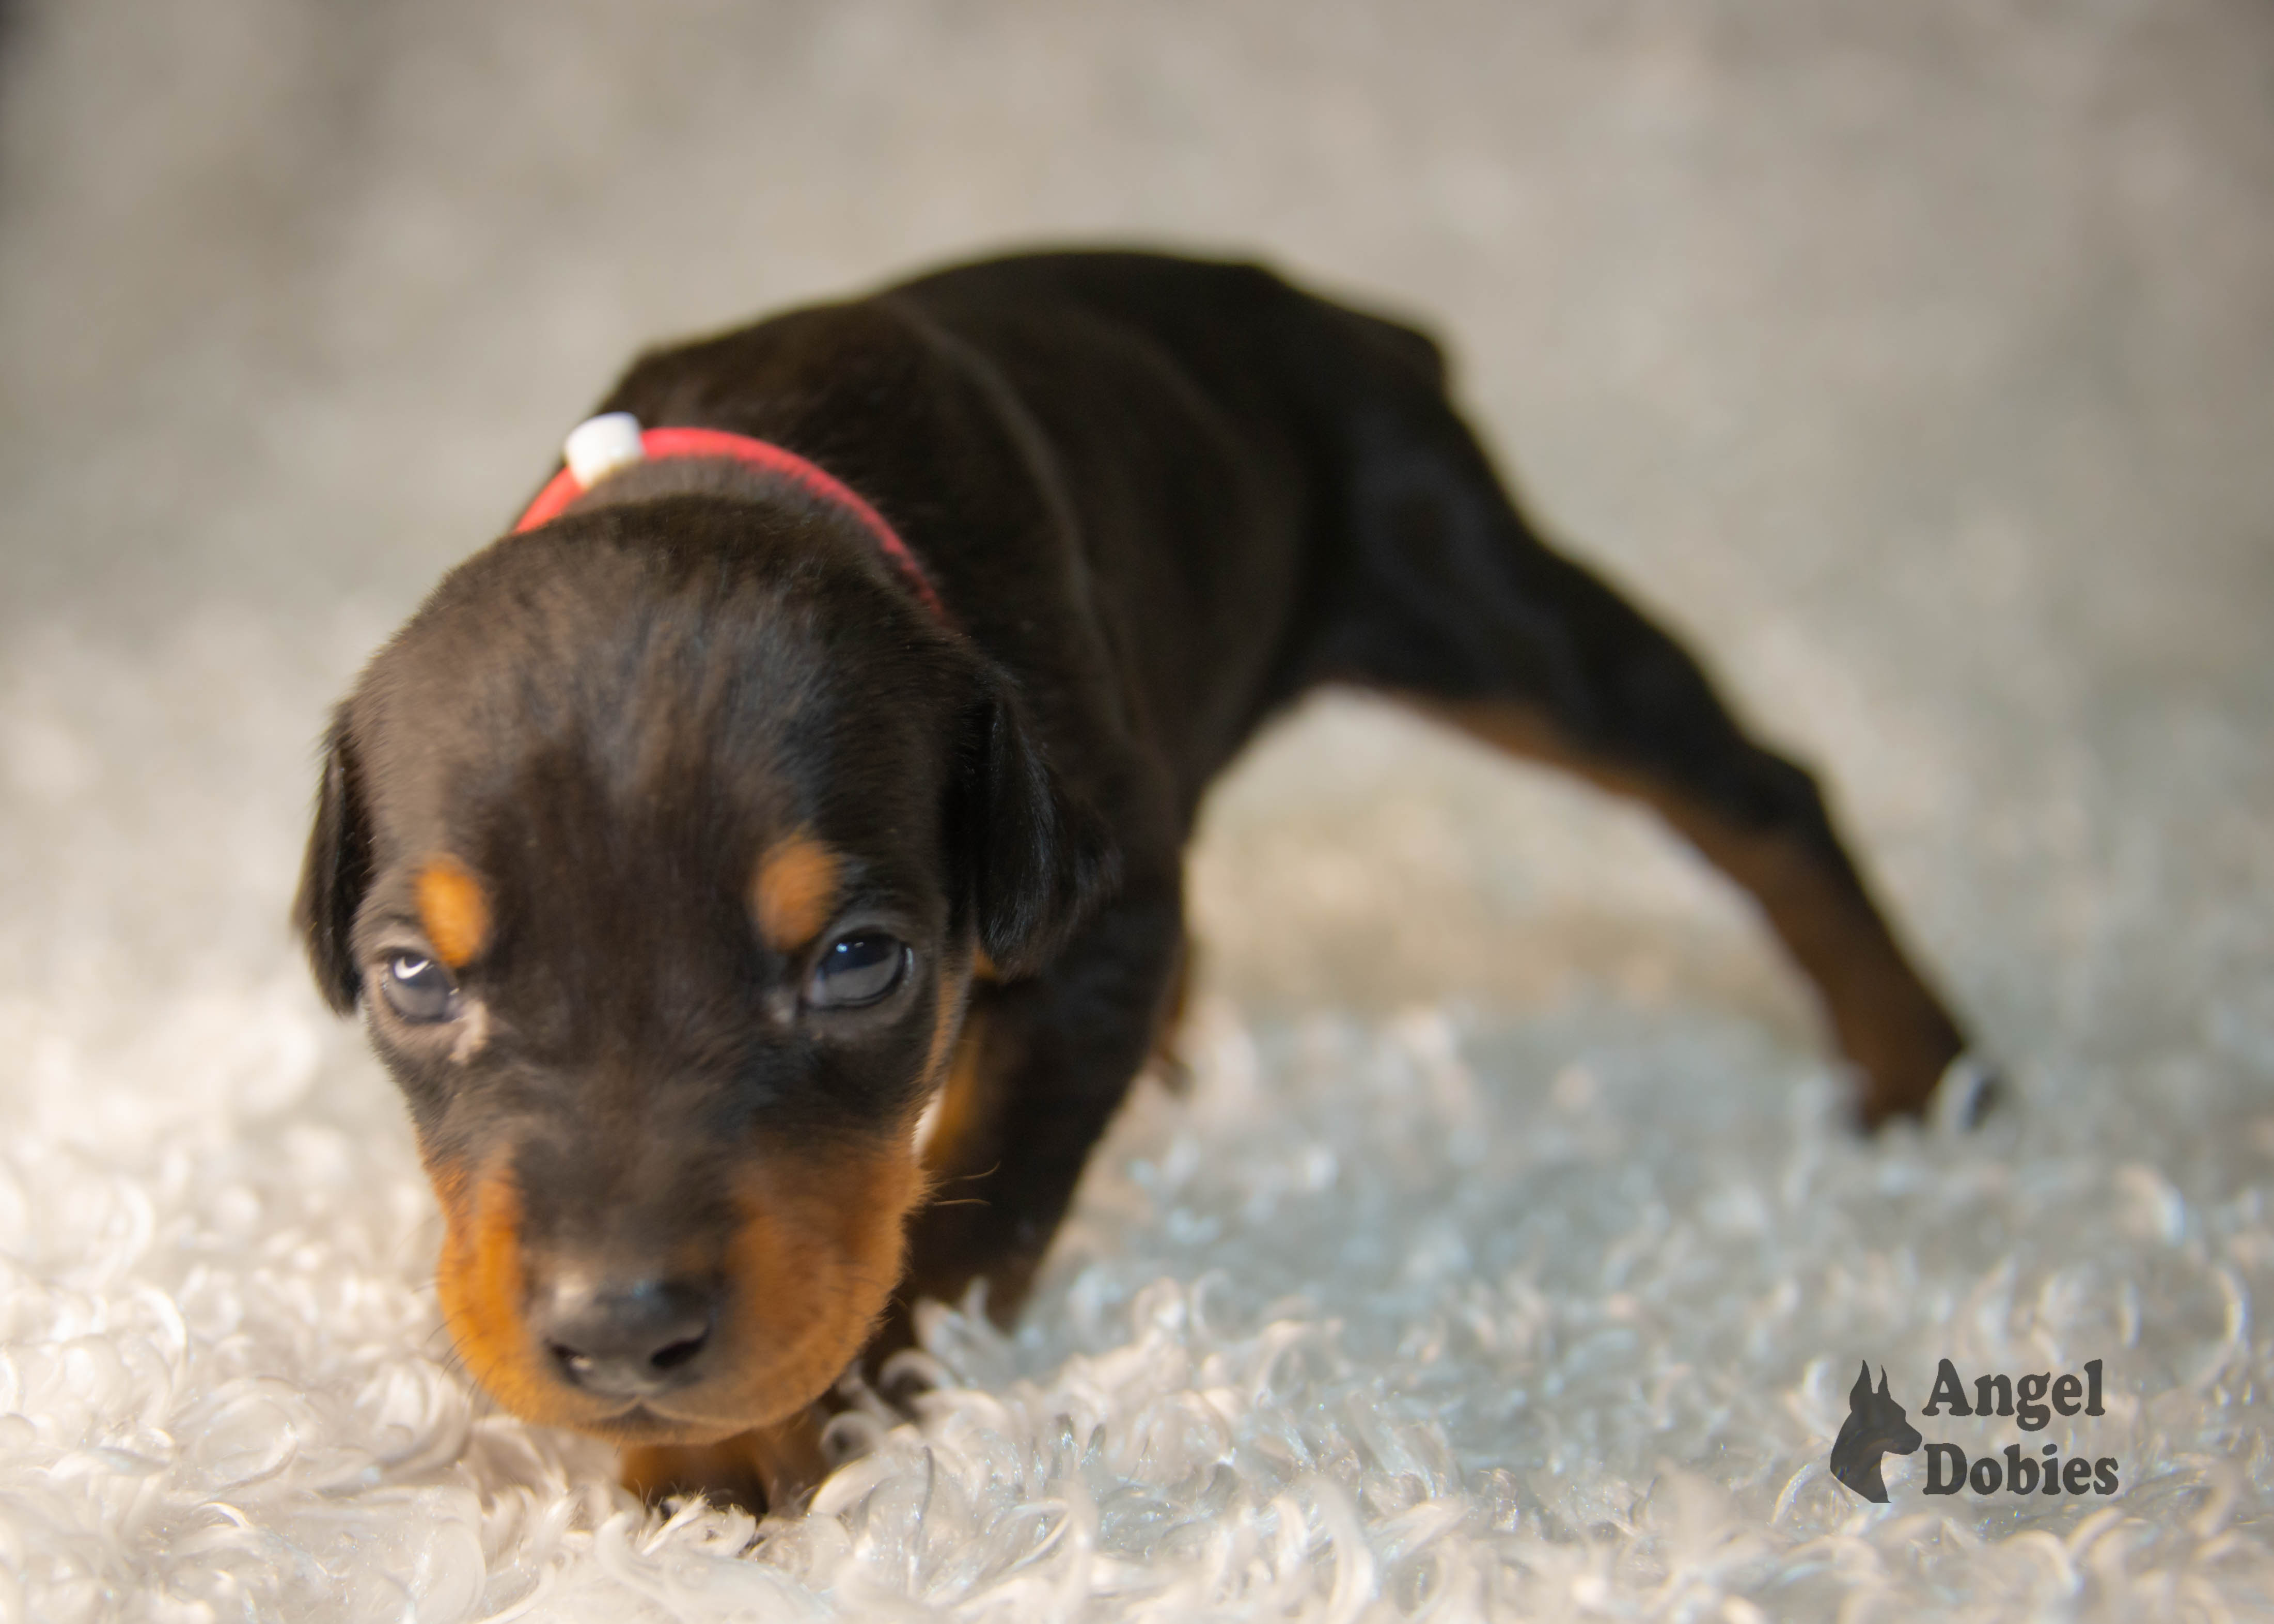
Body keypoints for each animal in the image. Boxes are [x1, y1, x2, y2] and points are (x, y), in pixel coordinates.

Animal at [297, 246, 1973, 1501]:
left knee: (1754, 790)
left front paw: (784, 1428)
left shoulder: (1090, 925)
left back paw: (1924, 1064)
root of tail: (1336, 314)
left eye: (857, 961)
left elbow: (967, 1214)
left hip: (1470, 591)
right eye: (412, 978)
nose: (621, 1331)